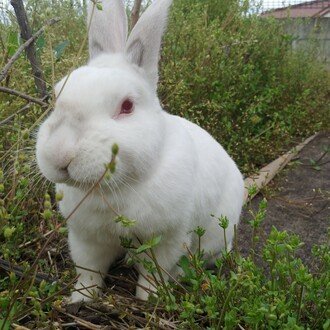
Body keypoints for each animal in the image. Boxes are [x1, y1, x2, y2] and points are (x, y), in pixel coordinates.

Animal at [36, 0, 244, 302]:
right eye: (55, 95)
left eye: (127, 106)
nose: (60, 155)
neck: (115, 189)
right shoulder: (86, 238)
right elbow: (89, 271)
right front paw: (80, 299)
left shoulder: (168, 239)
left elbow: (154, 274)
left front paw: (150, 300)